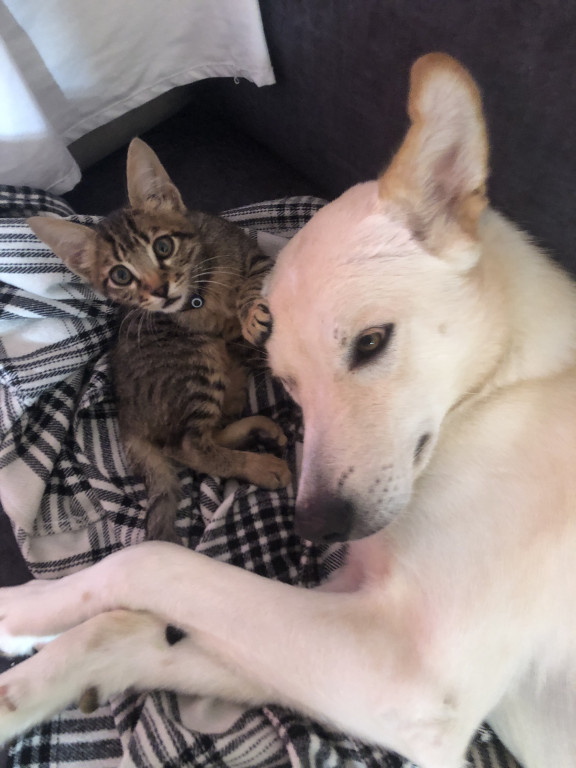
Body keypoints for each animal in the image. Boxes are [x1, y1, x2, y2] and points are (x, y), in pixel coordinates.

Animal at [28, 138, 291, 542]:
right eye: (121, 275)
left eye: (163, 247)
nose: (160, 290)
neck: (200, 295)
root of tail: (126, 417)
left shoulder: (252, 257)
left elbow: (252, 285)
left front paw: (249, 314)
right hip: (195, 362)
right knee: (188, 446)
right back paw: (261, 466)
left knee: (207, 431)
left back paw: (256, 427)